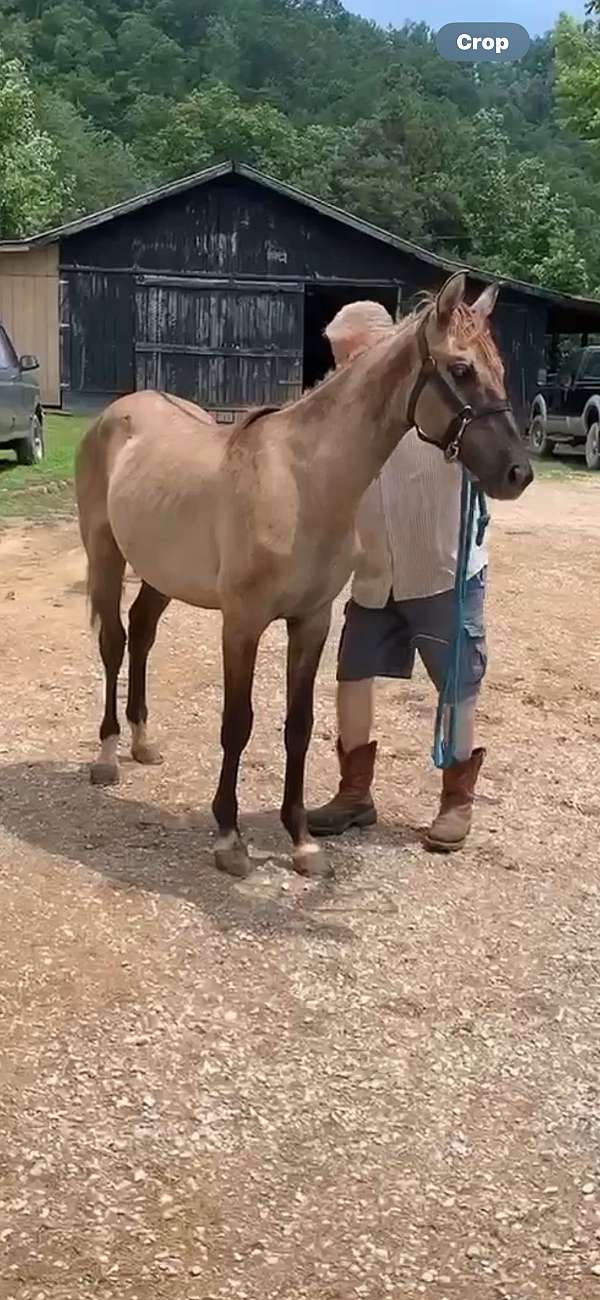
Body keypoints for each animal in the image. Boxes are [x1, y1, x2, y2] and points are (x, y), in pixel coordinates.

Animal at [76, 274, 535, 883]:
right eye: (460, 369)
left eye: (499, 367)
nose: (517, 473)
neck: (300, 480)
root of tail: (119, 412)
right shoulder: (242, 623)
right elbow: (238, 722)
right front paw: (229, 838)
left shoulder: (312, 621)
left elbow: (300, 725)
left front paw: (301, 842)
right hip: (106, 554)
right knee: (114, 641)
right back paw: (107, 756)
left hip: (162, 571)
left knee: (142, 632)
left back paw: (142, 742)